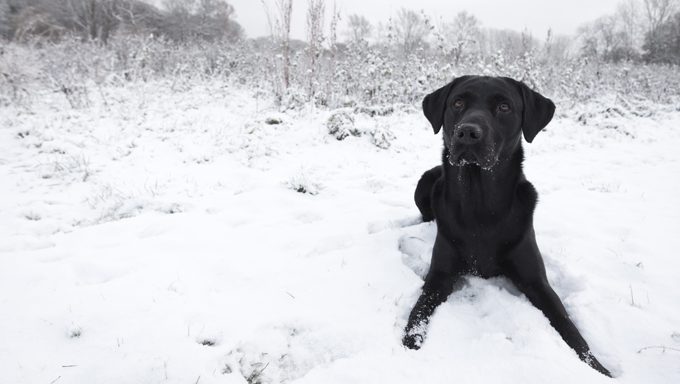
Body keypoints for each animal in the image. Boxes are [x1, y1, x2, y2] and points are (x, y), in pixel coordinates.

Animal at [404, 74, 612, 376]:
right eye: (458, 103)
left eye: (504, 107)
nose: (467, 132)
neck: (480, 206)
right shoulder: (440, 275)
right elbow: (417, 313)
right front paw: (409, 346)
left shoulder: (536, 280)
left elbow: (568, 325)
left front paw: (598, 368)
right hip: (423, 184)